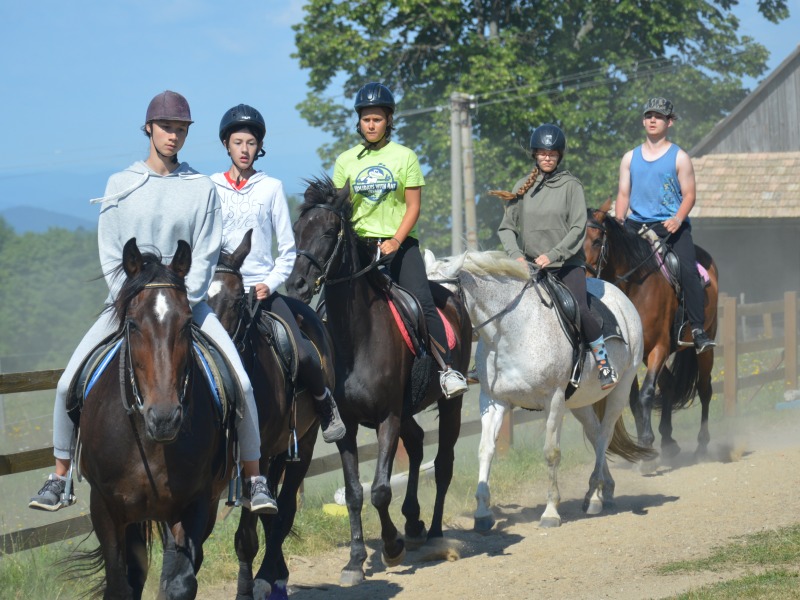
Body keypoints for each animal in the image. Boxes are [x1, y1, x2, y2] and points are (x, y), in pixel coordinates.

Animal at [77, 239, 231, 600]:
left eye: (187, 323)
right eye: (133, 324)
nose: (164, 418)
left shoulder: (195, 503)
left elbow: (179, 582)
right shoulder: (104, 506)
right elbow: (119, 583)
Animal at [206, 230, 334, 600]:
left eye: (238, 301)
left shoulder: (259, 454)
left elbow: (247, 536)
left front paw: (248, 589)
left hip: (303, 442)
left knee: (286, 508)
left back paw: (271, 578)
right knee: (274, 513)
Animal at [580, 202, 720, 460]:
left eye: (596, 241)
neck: (635, 287)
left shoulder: (659, 348)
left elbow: (645, 393)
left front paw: (646, 442)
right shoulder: (633, 355)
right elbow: (634, 398)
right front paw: (646, 446)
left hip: (706, 346)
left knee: (704, 389)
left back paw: (702, 445)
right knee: (670, 383)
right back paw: (668, 441)